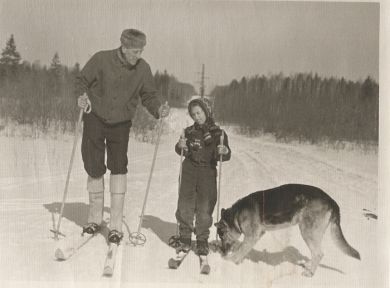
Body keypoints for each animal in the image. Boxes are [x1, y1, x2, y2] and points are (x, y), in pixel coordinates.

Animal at [215, 184, 362, 276]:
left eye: (221, 236)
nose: (222, 251)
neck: (235, 215)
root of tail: (332, 201)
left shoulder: (252, 236)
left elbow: (240, 251)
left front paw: (229, 261)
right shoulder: (257, 234)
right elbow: (242, 250)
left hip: (307, 231)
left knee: (319, 253)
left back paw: (309, 273)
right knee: (315, 253)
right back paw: (308, 265)